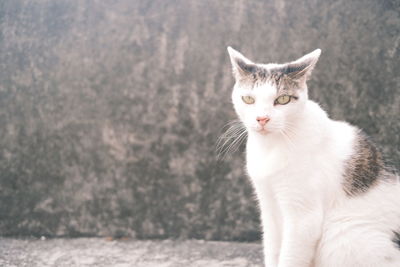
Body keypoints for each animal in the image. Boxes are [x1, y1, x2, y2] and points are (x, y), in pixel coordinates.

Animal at [225, 47, 400, 266]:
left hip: (342, 235)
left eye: (282, 99)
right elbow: (272, 249)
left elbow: (290, 257)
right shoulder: (269, 206)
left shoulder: (303, 218)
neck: (271, 146)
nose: (262, 118)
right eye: (248, 99)